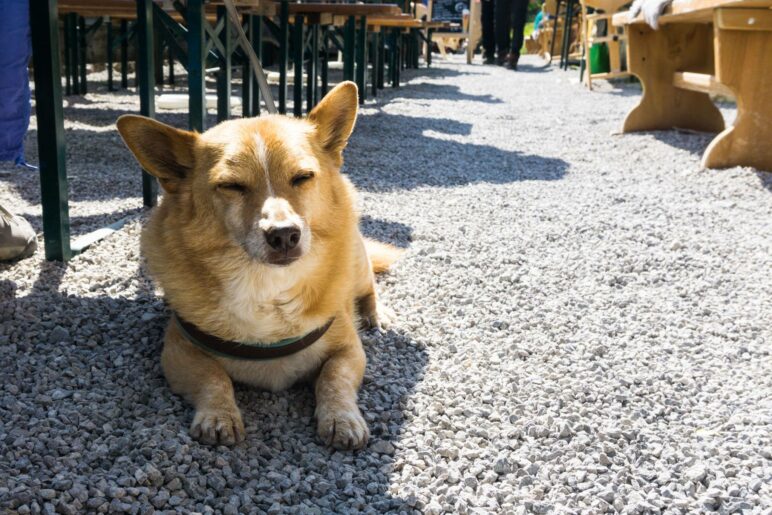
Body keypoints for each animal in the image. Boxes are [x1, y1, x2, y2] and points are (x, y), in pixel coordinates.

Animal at [117, 81, 404, 452]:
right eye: (231, 186)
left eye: (302, 177)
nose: (284, 235)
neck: (268, 287)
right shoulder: (178, 350)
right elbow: (214, 377)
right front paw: (219, 415)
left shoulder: (349, 348)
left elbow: (333, 377)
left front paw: (341, 418)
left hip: (356, 260)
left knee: (369, 286)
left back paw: (376, 313)